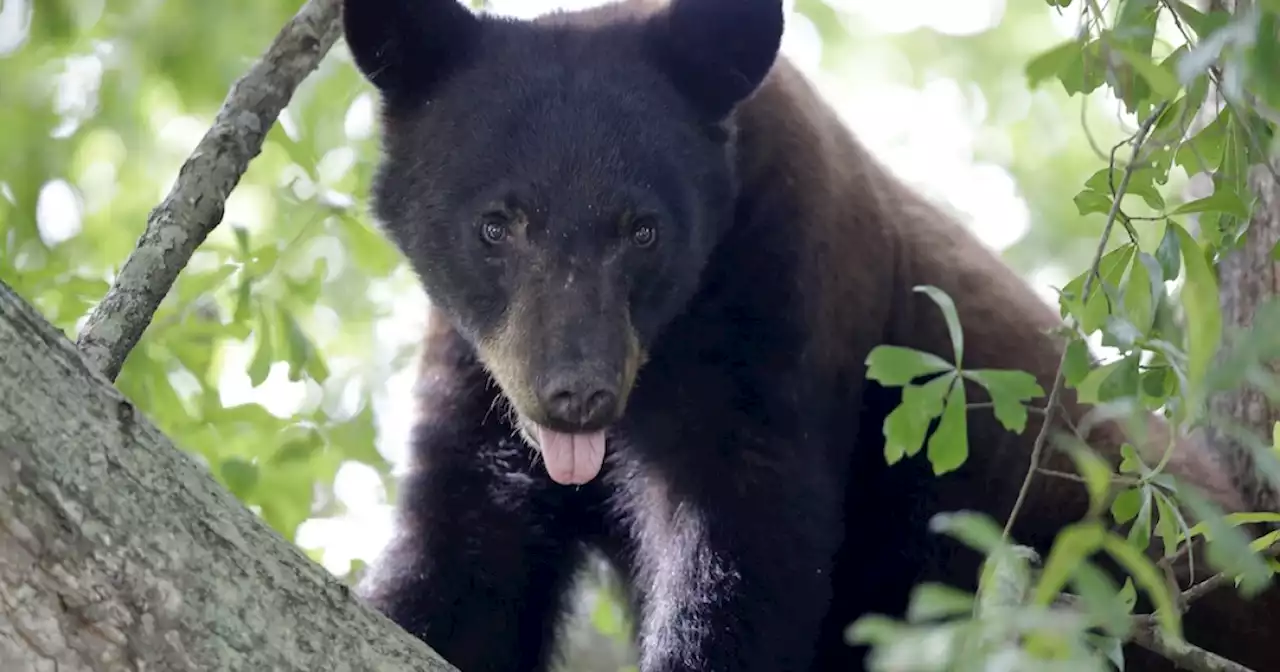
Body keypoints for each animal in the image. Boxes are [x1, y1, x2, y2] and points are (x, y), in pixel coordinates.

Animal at [340, 0, 1280, 665]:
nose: (576, 393)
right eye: (495, 224)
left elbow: (747, 551)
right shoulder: (478, 377)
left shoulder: (777, 311)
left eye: (643, 229)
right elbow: (463, 560)